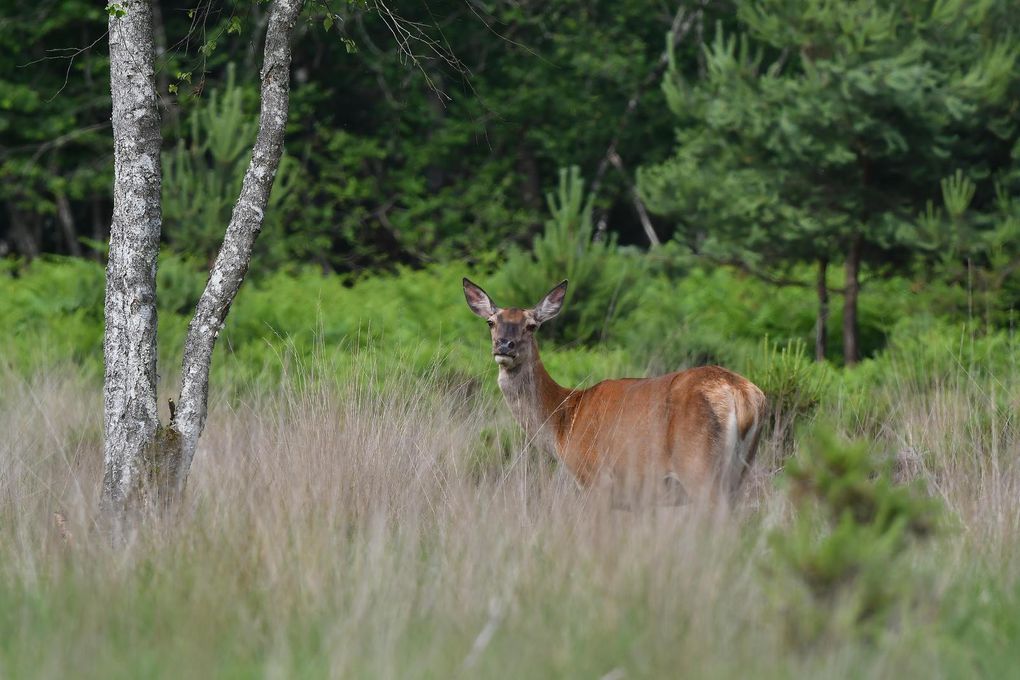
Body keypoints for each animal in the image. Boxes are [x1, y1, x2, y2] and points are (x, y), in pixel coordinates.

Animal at [463, 277, 767, 505]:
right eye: (491, 322)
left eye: (531, 325)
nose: (505, 345)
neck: (564, 420)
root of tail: (740, 394)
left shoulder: (597, 479)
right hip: (739, 472)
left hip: (698, 466)